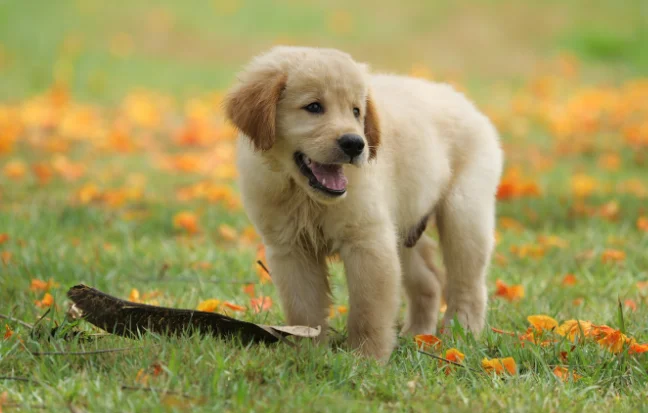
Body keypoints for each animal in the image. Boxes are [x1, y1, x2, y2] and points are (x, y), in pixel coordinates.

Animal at [225, 45, 504, 360]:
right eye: (314, 107)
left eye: (356, 111)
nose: (355, 144)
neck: (305, 197)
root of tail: (466, 103)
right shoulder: (291, 249)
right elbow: (304, 309)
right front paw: (308, 352)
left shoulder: (368, 241)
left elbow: (368, 310)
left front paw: (366, 358)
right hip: (402, 229)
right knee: (430, 282)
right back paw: (417, 335)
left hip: (464, 215)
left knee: (468, 286)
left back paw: (460, 336)